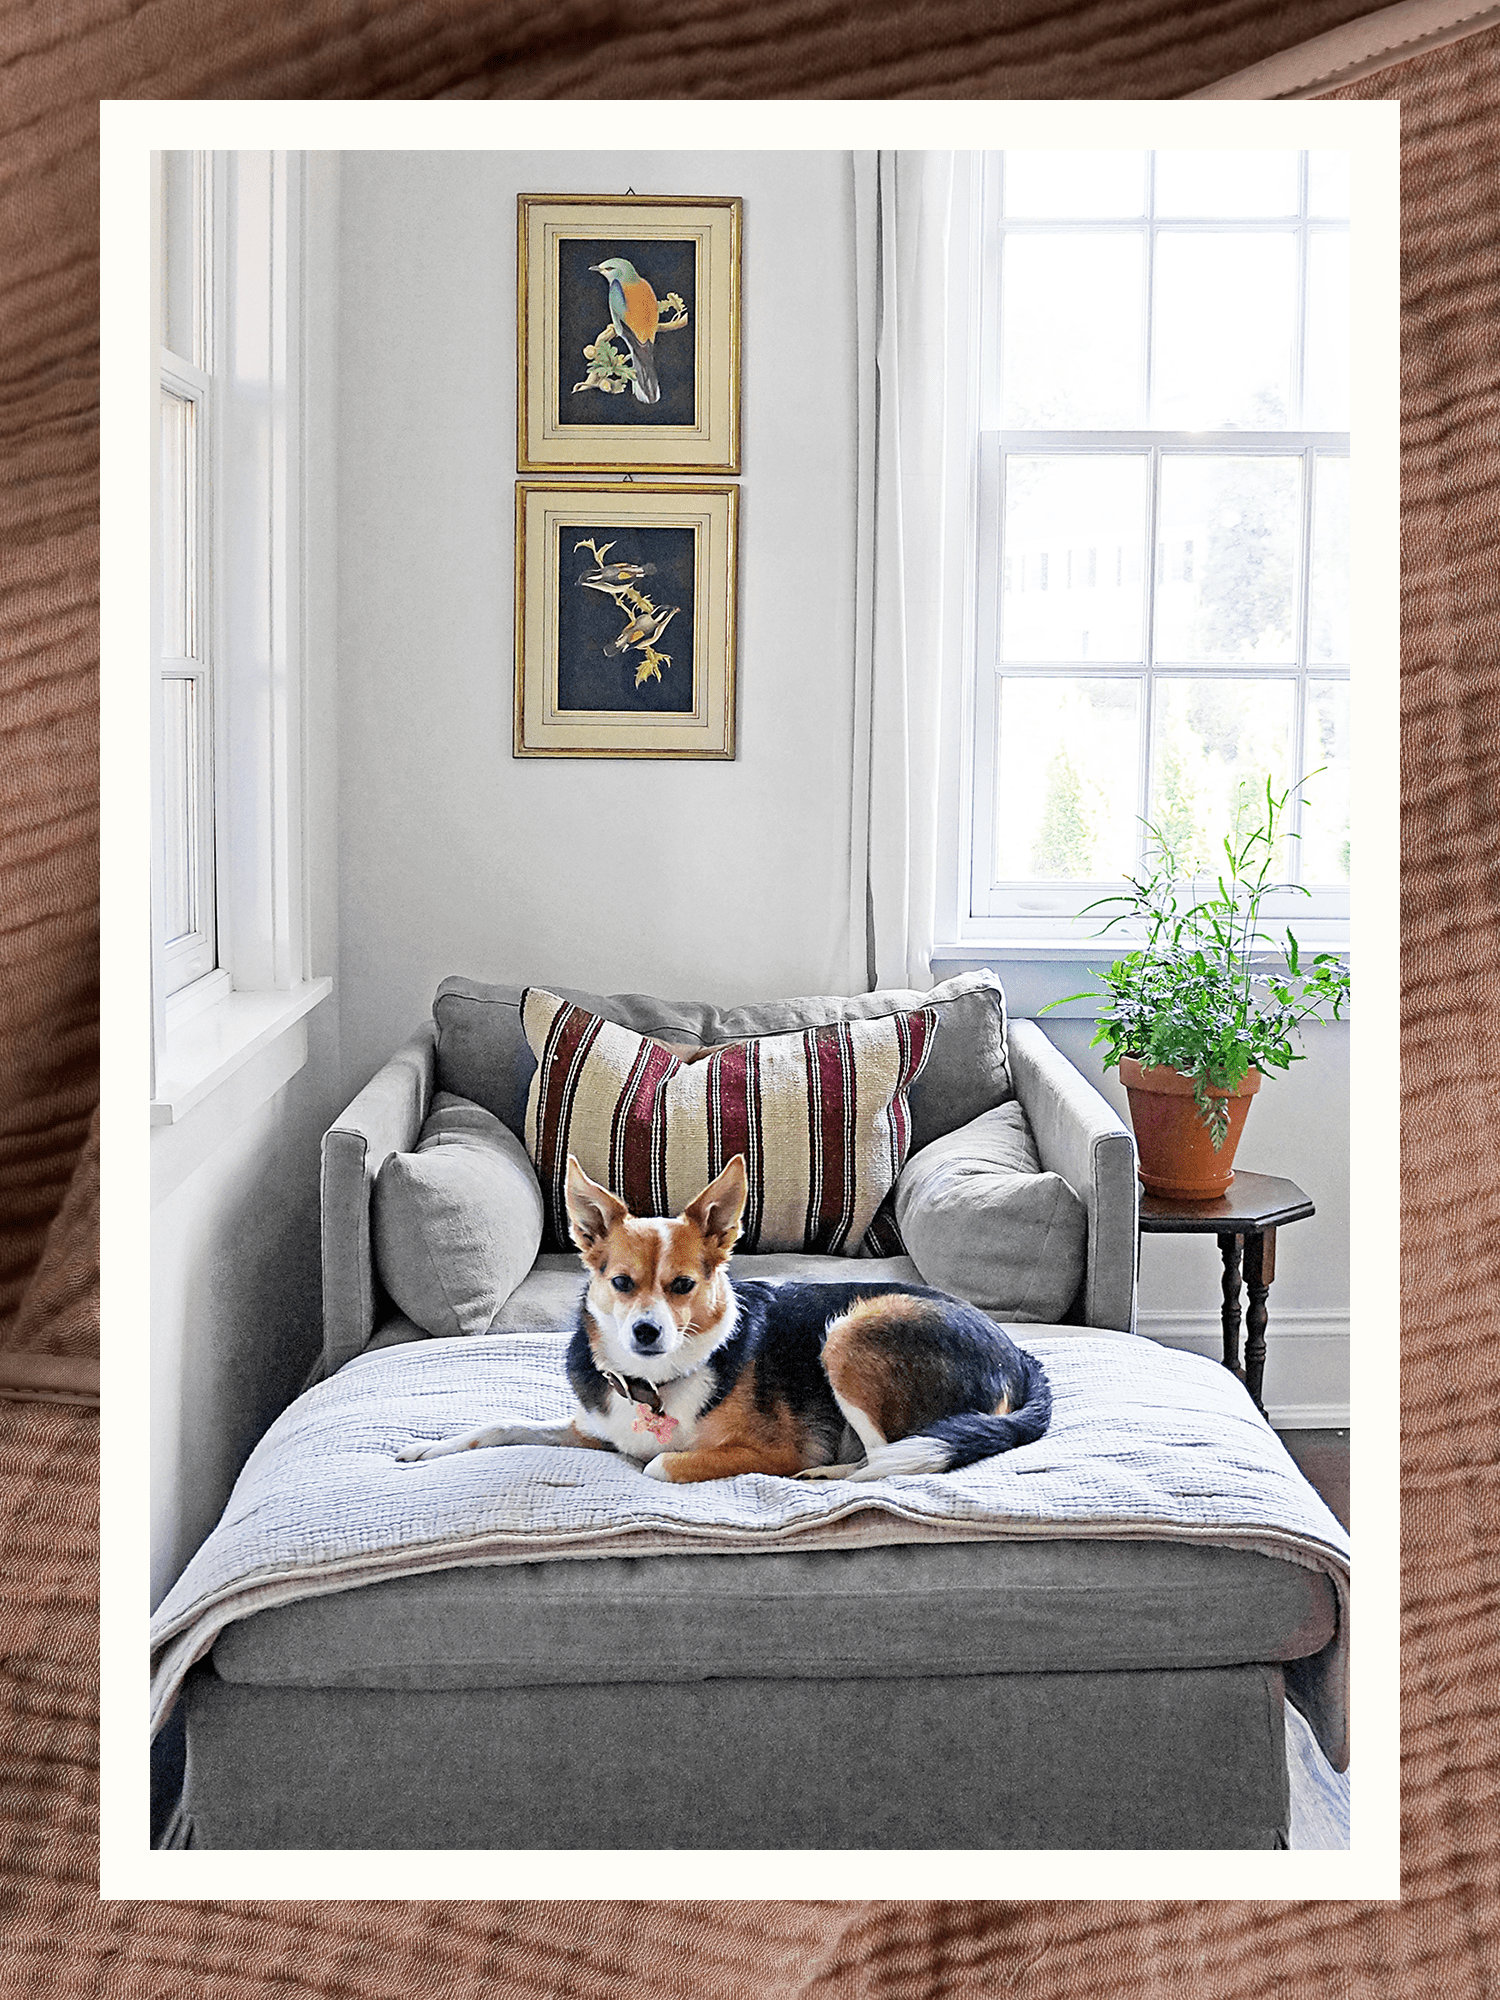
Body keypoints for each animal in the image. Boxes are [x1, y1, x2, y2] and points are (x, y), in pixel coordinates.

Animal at [400, 1160, 1056, 1488]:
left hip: (851, 1332)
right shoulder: (594, 1431)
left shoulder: (769, 1451)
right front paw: (429, 1449)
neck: (654, 1384)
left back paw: (830, 1473)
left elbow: (660, 1464)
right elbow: (497, 1425)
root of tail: (1022, 1359)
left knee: (888, 1461)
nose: (646, 1333)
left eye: (683, 1285)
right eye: (622, 1283)